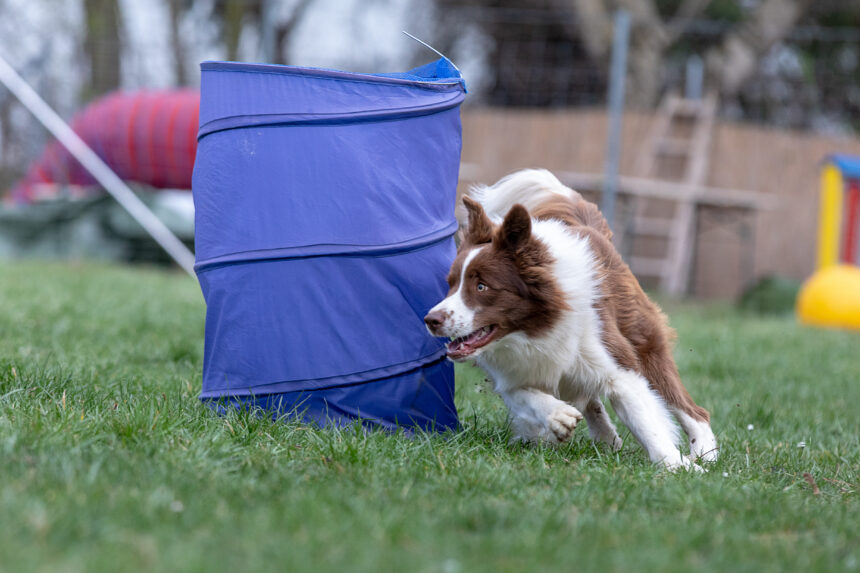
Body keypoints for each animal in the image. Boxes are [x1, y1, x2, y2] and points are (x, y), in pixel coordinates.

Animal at [424, 169, 720, 470]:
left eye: (482, 286)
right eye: (451, 284)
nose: (430, 319)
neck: (534, 329)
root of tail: (586, 225)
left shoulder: (618, 366)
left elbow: (647, 423)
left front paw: (679, 467)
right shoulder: (510, 372)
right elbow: (522, 395)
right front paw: (557, 417)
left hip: (644, 343)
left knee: (693, 410)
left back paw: (705, 453)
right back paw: (603, 437)